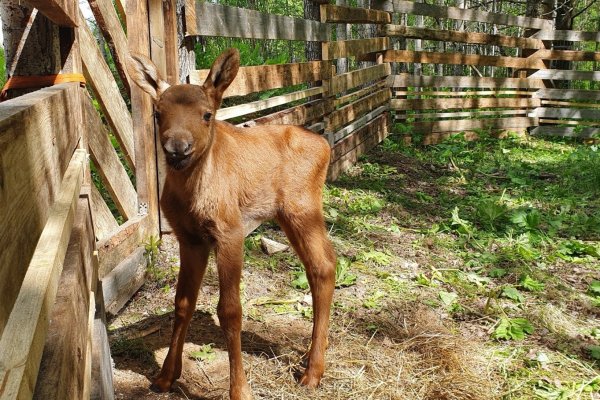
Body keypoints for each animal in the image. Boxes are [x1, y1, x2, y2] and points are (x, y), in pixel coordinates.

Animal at [126, 48, 338, 398]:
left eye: (207, 114)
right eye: (157, 113)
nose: (177, 148)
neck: (193, 196)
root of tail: (326, 145)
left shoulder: (230, 231)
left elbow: (230, 310)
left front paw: (239, 389)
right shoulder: (189, 238)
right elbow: (183, 302)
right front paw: (166, 376)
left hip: (302, 207)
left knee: (323, 265)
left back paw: (314, 371)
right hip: (287, 214)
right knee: (319, 265)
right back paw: (312, 357)